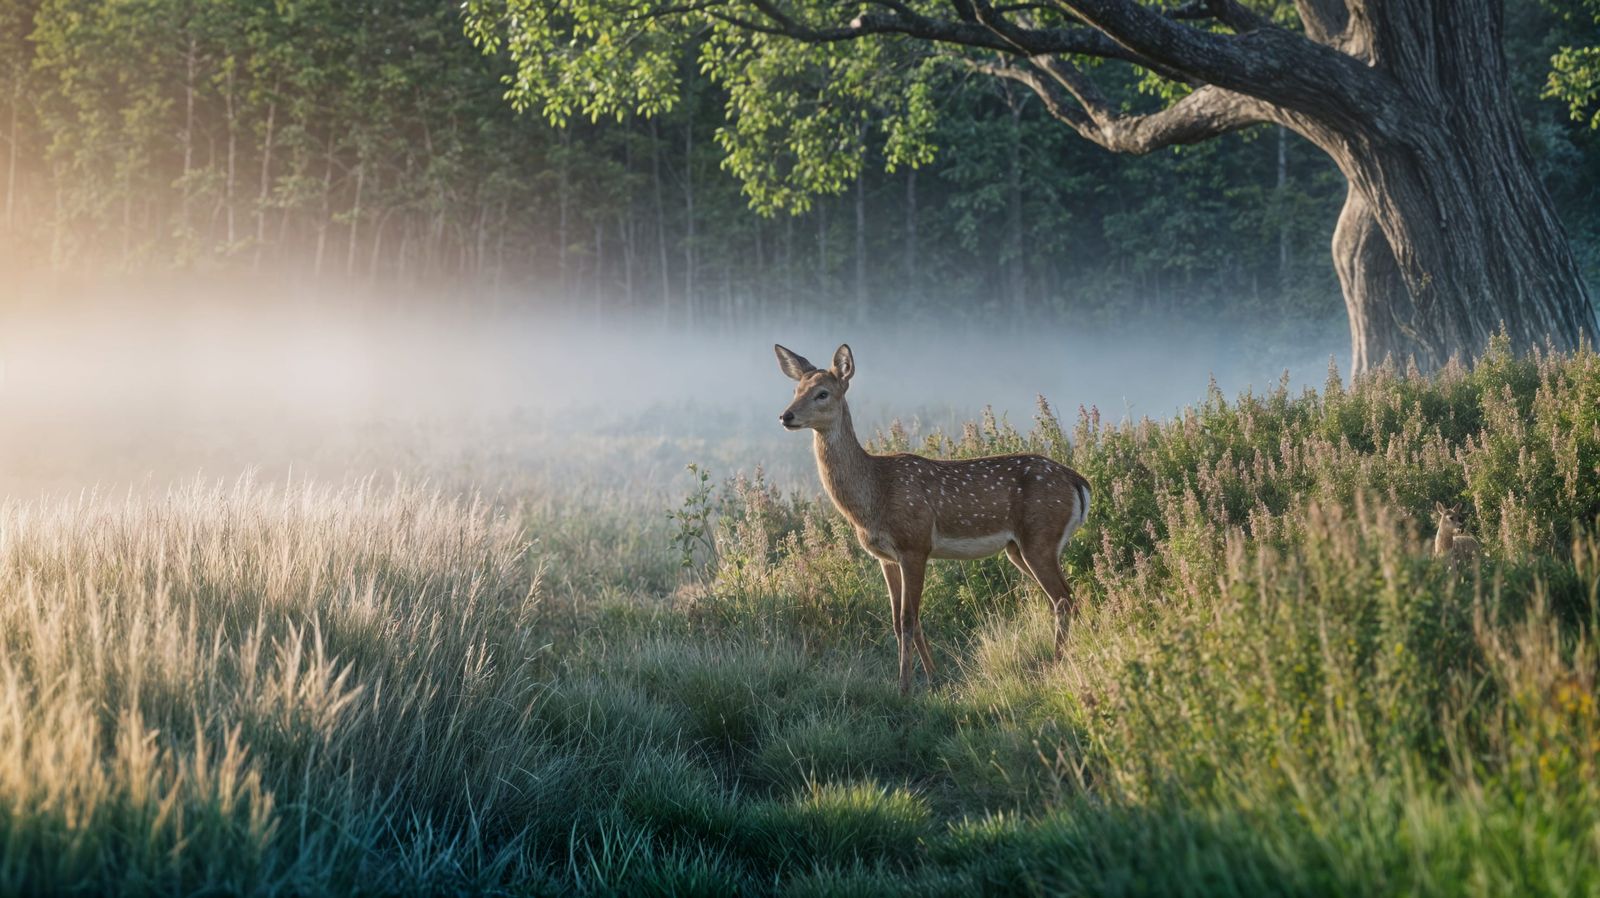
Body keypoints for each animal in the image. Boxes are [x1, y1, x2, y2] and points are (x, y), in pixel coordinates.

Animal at [775, 343, 1092, 694]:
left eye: (822, 393)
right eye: (795, 390)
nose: (786, 415)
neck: (874, 494)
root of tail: (1078, 481)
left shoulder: (915, 544)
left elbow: (908, 618)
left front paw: (905, 686)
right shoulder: (885, 557)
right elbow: (899, 621)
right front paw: (931, 675)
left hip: (1040, 537)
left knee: (1062, 598)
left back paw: (1057, 664)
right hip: (1018, 549)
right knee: (1065, 597)